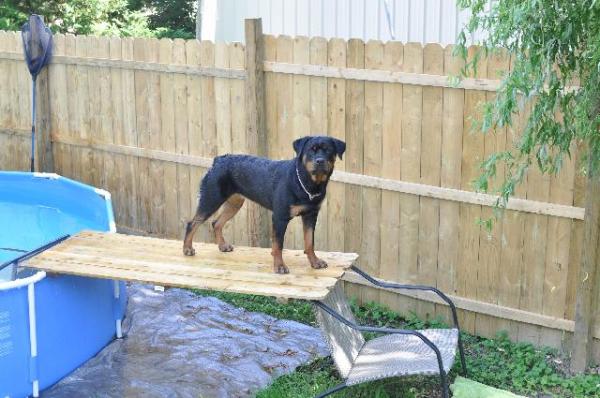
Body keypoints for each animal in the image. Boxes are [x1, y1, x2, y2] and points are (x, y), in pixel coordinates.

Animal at [180, 136, 344, 274]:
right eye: (311, 150)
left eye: (328, 150)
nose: (320, 160)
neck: (306, 183)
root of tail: (218, 160)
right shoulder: (280, 217)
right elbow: (278, 245)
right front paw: (279, 266)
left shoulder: (311, 215)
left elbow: (310, 241)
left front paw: (315, 262)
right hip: (211, 198)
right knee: (193, 223)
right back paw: (187, 249)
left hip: (234, 203)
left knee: (216, 222)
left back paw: (222, 246)